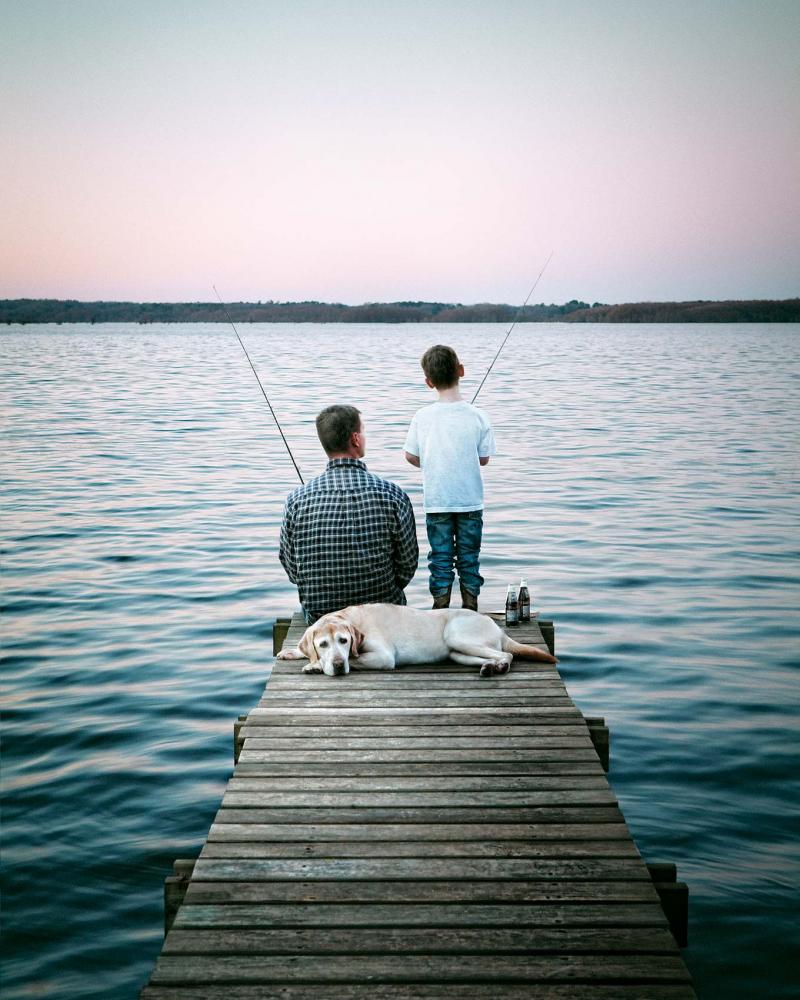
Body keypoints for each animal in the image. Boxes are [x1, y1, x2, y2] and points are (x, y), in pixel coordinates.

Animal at [276, 600, 556, 680]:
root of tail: (499, 629)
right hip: (458, 653)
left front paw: (315, 665)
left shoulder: (383, 657)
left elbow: (355, 660)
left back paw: (501, 666)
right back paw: (490, 668)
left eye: (344, 641)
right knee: (489, 657)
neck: (352, 618)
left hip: (456, 635)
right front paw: (293, 652)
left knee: (506, 654)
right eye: (323, 644)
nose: (336, 665)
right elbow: (304, 649)